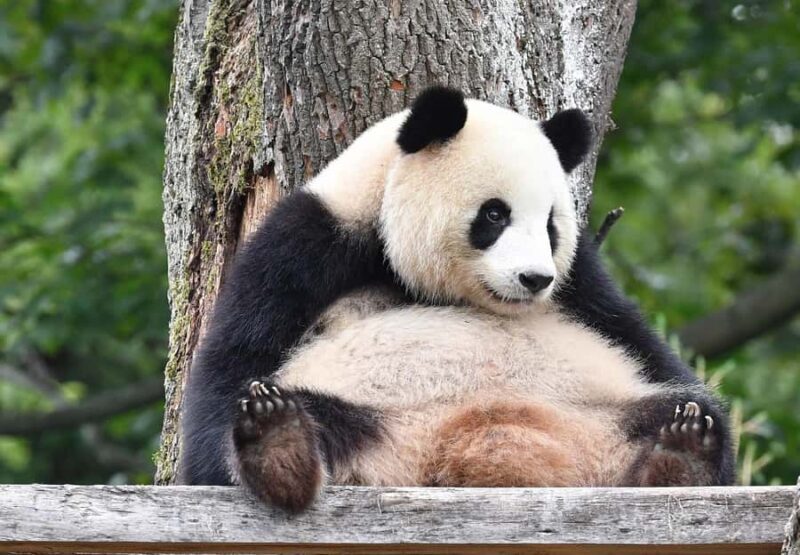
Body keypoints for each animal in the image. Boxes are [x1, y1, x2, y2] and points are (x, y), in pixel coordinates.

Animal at [180, 86, 735, 512]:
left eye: (551, 224)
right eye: (494, 215)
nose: (535, 279)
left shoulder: (582, 283)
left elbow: (642, 344)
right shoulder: (308, 244)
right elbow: (230, 371)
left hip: (598, 414)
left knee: (685, 410)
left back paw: (681, 452)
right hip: (373, 416)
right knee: (317, 412)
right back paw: (279, 444)